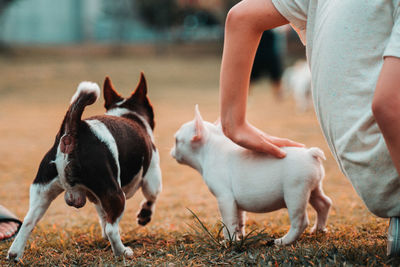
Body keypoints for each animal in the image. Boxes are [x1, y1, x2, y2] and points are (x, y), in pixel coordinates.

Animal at [7, 73, 162, 262]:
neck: (127, 113)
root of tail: (72, 132)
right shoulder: (152, 177)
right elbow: (151, 198)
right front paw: (144, 216)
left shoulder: (98, 197)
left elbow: (103, 215)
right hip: (116, 194)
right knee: (112, 228)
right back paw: (122, 252)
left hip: (42, 192)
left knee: (28, 222)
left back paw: (15, 254)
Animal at [171, 106, 332, 245]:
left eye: (176, 141)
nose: (172, 151)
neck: (209, 149)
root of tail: (310, 154)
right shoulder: (235, 203)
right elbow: (239, 220)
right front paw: (239, 238)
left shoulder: (225, 198)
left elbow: (228, 223)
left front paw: (228, 242)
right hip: (313, 188)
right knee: (323, 203)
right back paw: (319, 229)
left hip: (295, 192)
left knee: (300, 221)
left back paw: (283, 241)